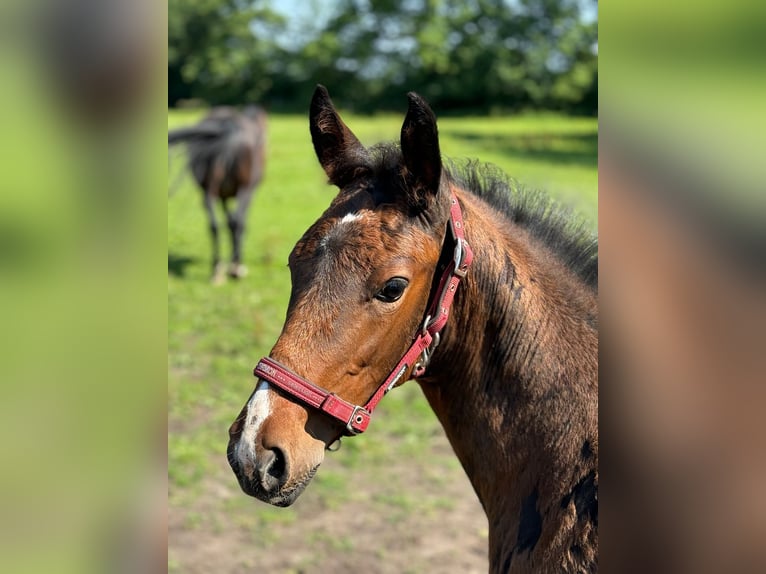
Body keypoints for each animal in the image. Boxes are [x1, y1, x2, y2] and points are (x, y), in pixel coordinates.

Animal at [168, 106, 268, 284]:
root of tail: (227, 126)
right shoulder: (248, 192)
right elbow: (239, 224)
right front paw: (236, 266)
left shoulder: (223, 196)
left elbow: (227, 223)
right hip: (243, 190)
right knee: (238, 222)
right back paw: (236, 268)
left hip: (208, 191)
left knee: (214, 226)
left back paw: (217, 269)